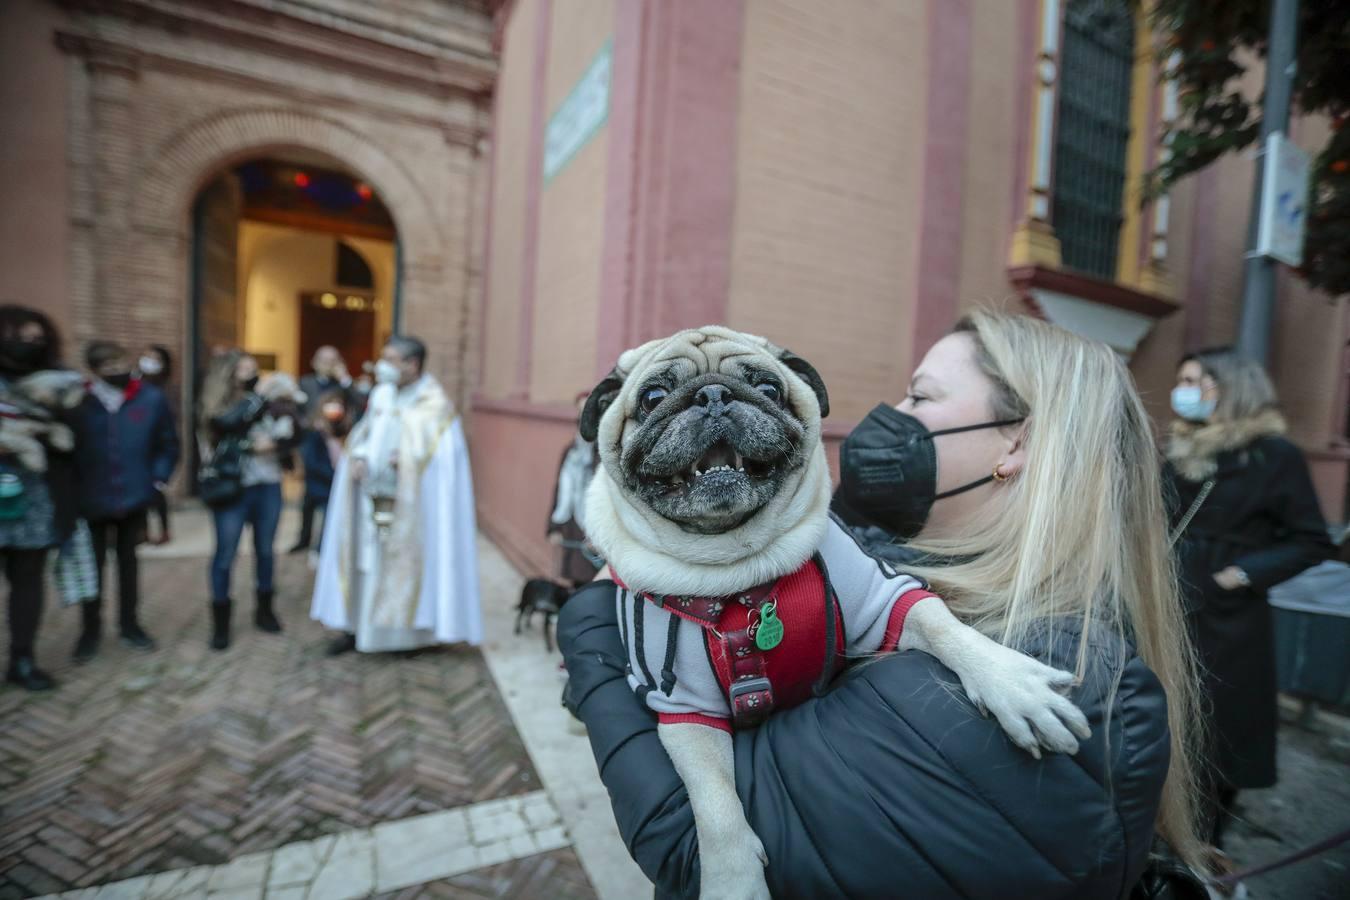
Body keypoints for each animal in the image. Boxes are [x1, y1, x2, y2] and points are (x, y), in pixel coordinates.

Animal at [585, 329, 1090, 900]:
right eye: (652, 397)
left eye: (768, 388)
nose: (714, 395)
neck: (740, 576)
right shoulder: (683, 706)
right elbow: (715, 807)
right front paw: (733, 880)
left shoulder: (884, 601)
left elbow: (947, 629)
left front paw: (1011, 684)